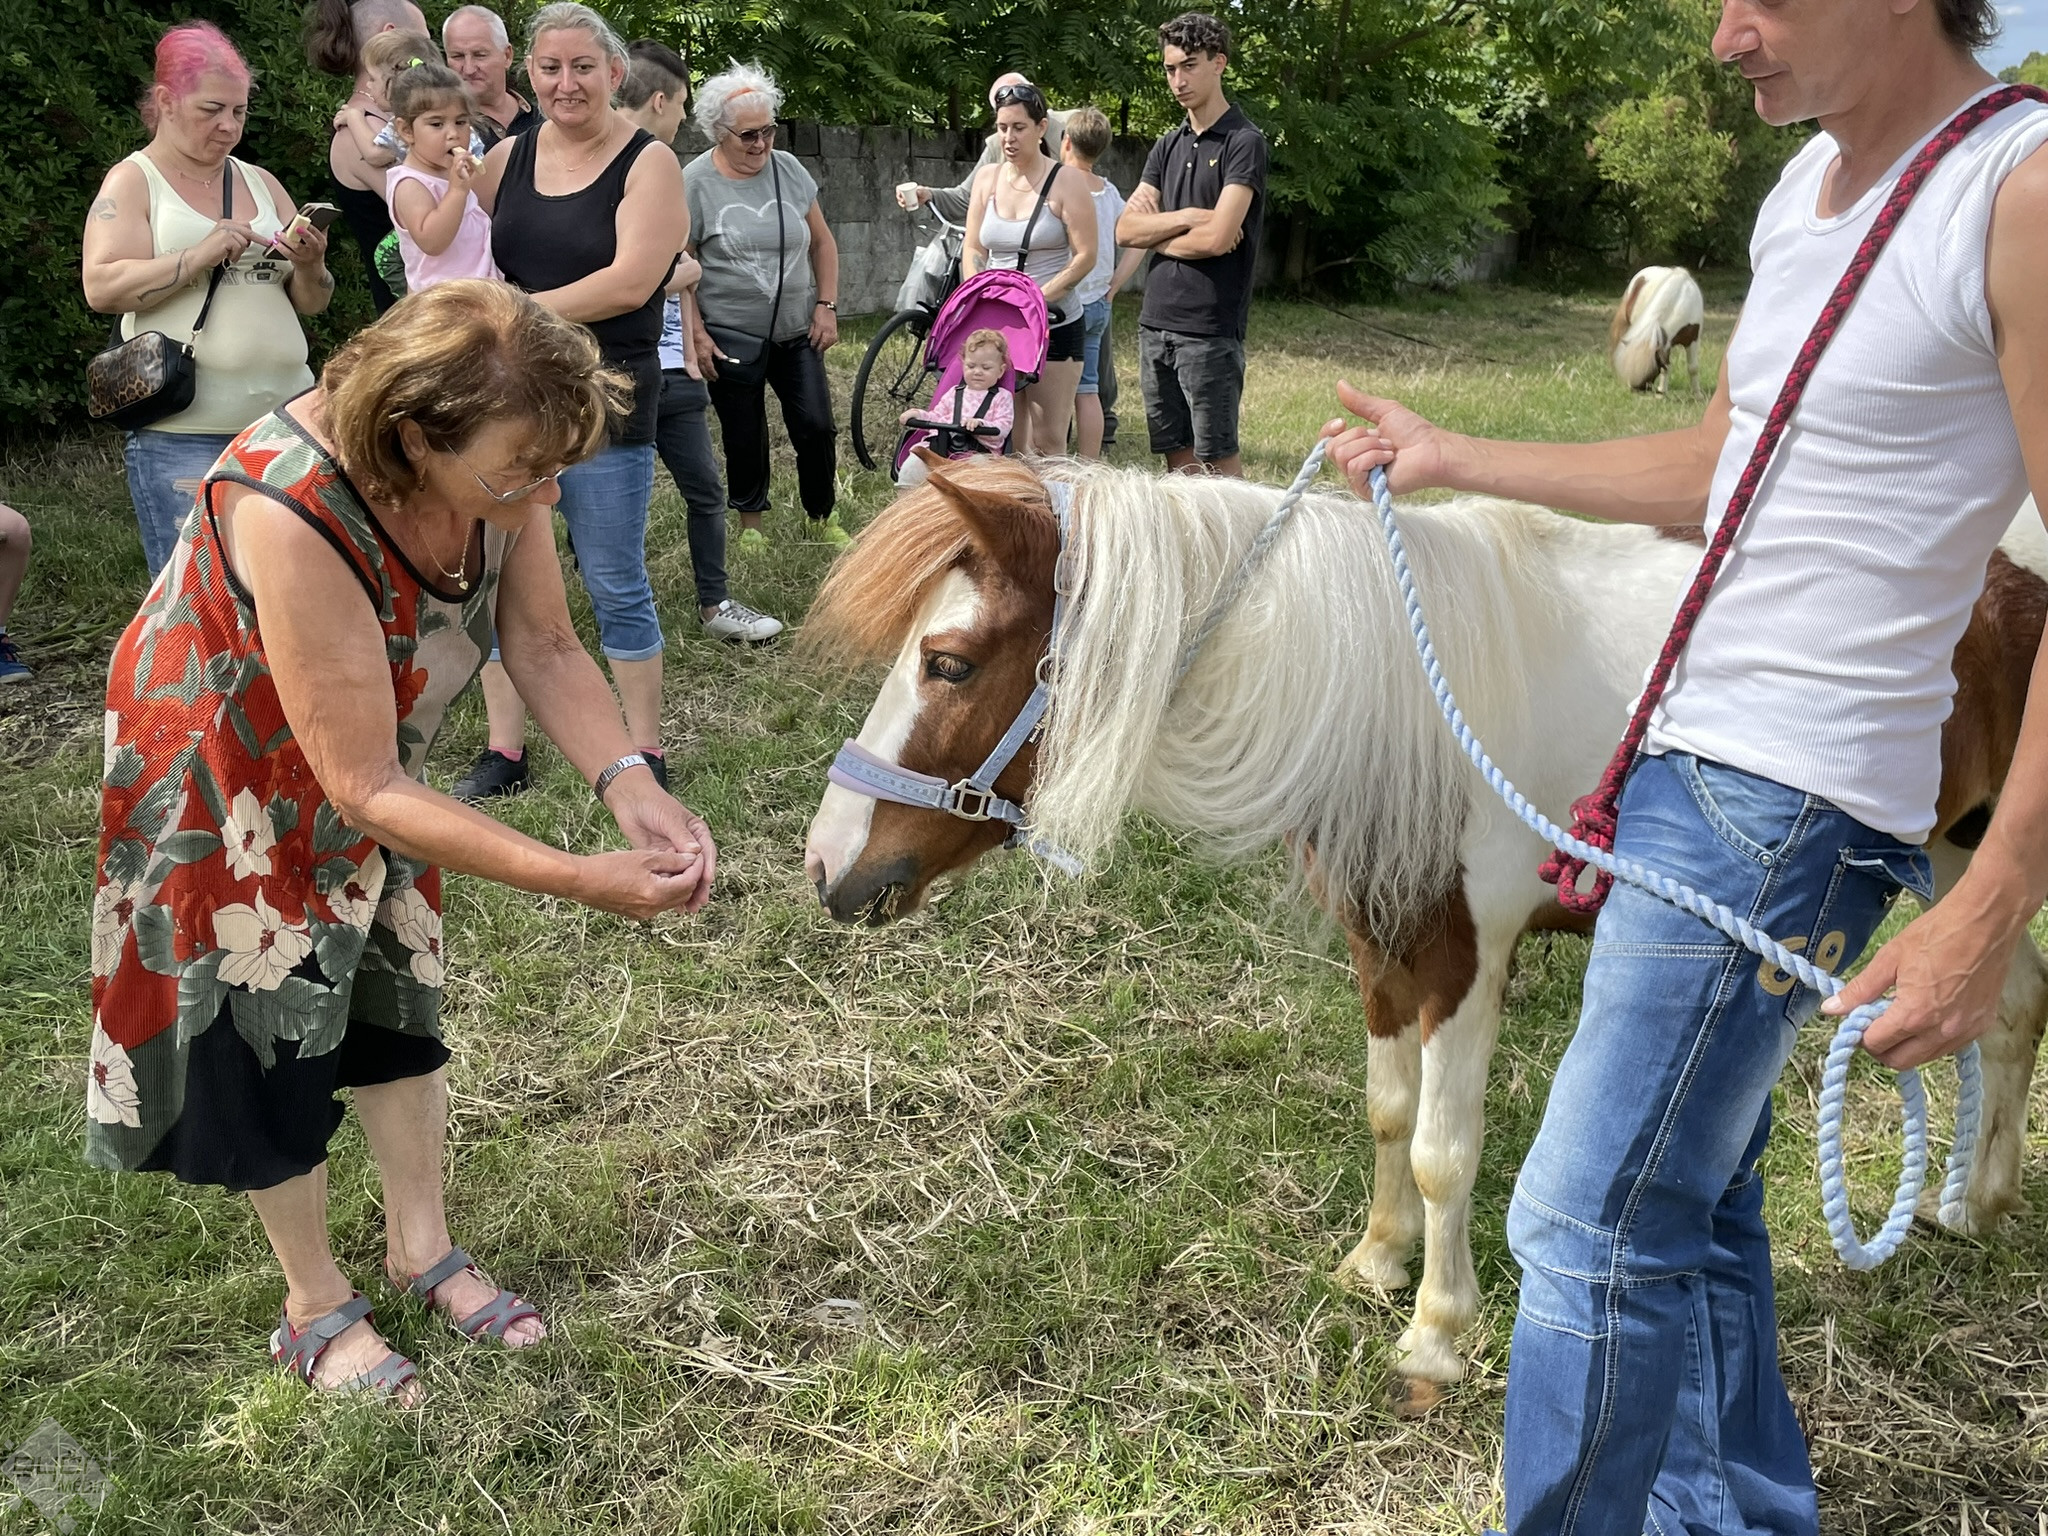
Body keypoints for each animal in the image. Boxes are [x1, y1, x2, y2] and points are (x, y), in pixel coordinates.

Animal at [801, 453, 2048, 1413]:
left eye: (948, 662)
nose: (828, 866)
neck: (1393, 699)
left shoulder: (1464, 958)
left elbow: (1446, 1149)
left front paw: (1437, 1331)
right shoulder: (1380, 938)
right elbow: (1387, 1113)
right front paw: (1374, 1263)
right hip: (1953, 861)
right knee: (2010, 1007)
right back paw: (1970, 1206)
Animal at [1612, 266, 1705, 395]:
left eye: (1650, 369)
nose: (1636, 389)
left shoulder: (1692, 340)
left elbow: (1692, 367)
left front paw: (1697, 394)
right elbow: (1666, 366)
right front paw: (1662, 392)